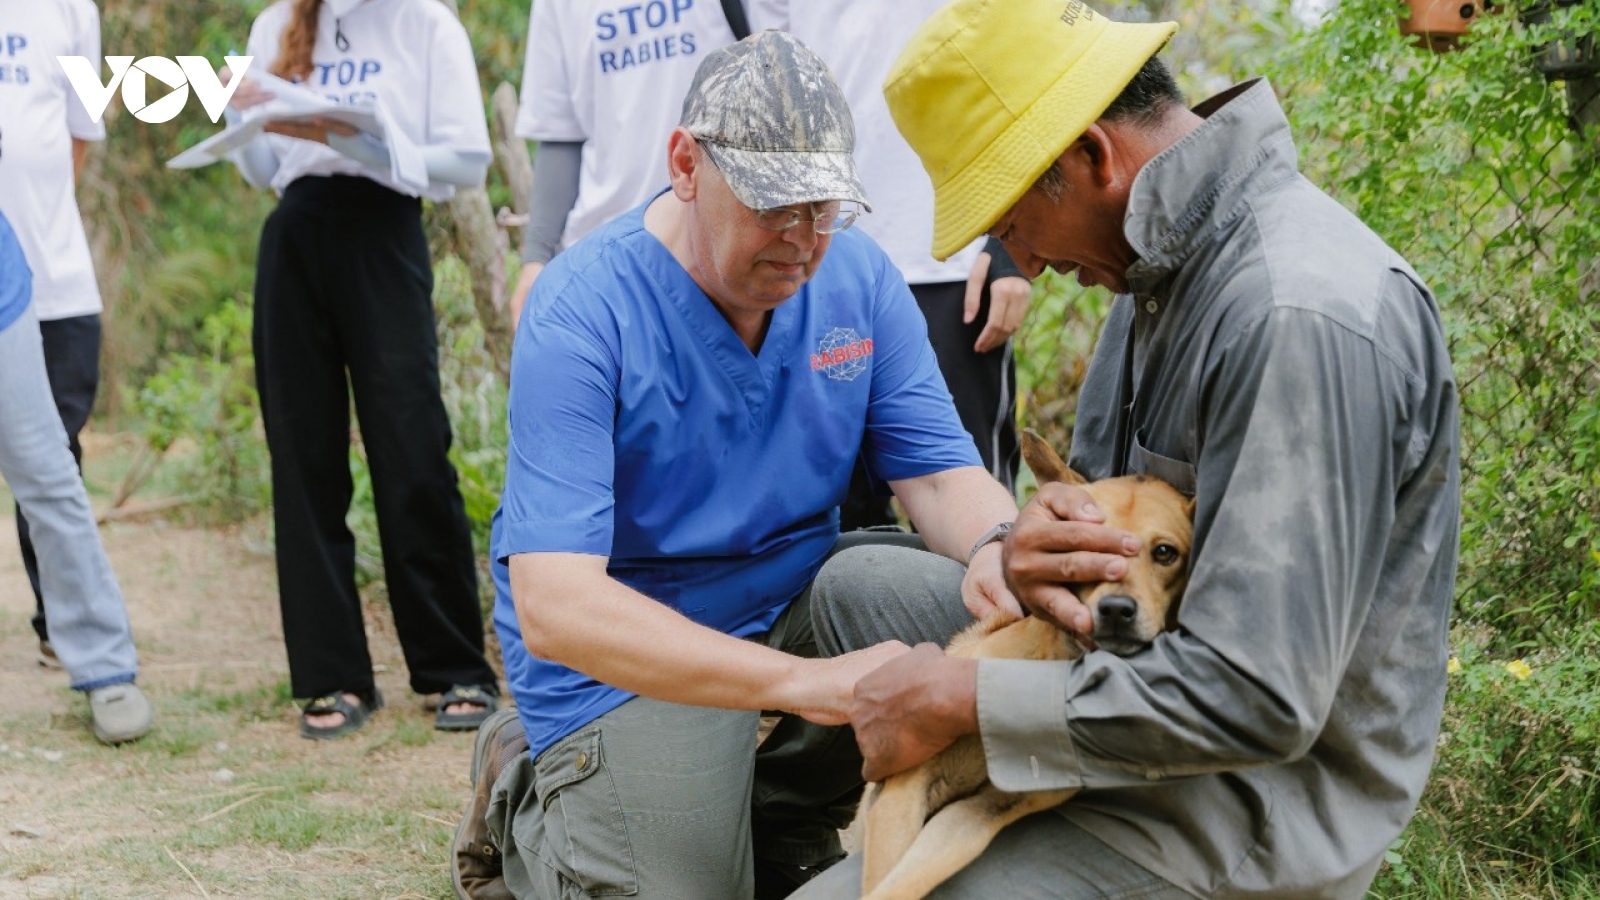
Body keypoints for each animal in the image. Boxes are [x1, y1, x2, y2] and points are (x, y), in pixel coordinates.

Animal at [864, 425, 1190, 896]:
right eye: (1081, 547)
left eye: (1165, 553)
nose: (1116, 610)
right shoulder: (903, 789)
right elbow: (880, 884)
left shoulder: (979, 814)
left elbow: (907, 882)